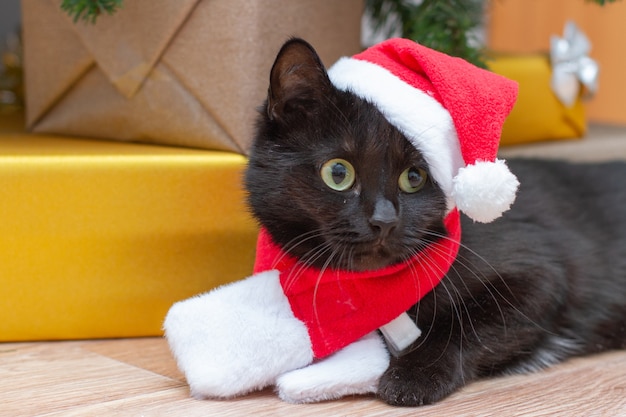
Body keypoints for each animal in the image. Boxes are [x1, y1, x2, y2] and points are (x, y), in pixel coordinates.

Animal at [244, 38, 624, 404]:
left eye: (414, 178)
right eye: (338, 172)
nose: (384, 220)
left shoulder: (542, 273)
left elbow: (464, 324)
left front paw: (414, 375)